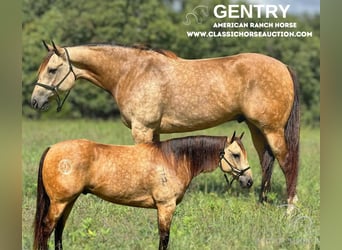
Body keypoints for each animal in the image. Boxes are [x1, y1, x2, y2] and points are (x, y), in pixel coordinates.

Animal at [30, 41, 300, 209]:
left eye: (52, 69)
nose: (35, 101)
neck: (132, 71)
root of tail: (284, 67)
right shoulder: (155, 131)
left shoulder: (142, 129)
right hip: (256, 128)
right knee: (267, 161)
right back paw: (262, 203)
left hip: (272, 130)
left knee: (287, 162)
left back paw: (290, 209)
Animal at [32, 132, 251, 249]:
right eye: (236, 154)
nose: (248, 181)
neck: (172, 159)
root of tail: (52, 148)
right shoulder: (165, 207)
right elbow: (164, 238)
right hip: (59, 202)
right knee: (46, 229)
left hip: (68, 201)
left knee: (58, 230)